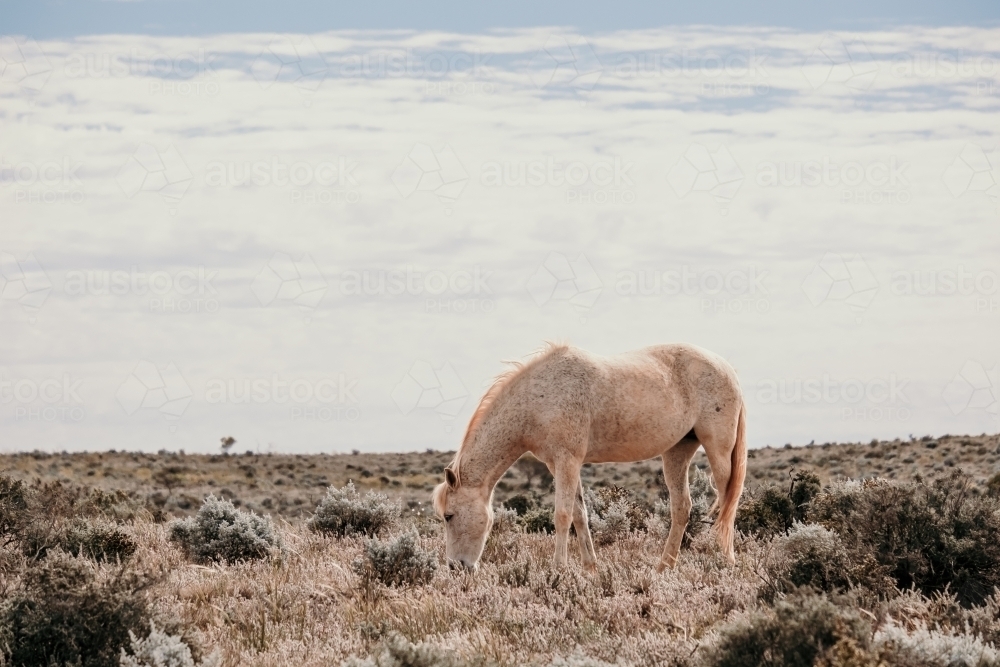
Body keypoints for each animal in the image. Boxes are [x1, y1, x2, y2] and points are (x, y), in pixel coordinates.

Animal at [434, 344, 748, 576]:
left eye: (449, 516)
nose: (456, 567)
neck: (537, 399)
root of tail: (728, 369)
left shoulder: (567, 460)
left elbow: (561, 515)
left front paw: (558, 569)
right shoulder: (559, 464)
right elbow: (579, 514)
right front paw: (590, 568)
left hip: (718, 450)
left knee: (727, 503)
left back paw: (726, 561)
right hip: (677, 452)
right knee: (682, 507)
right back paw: (664, 567)